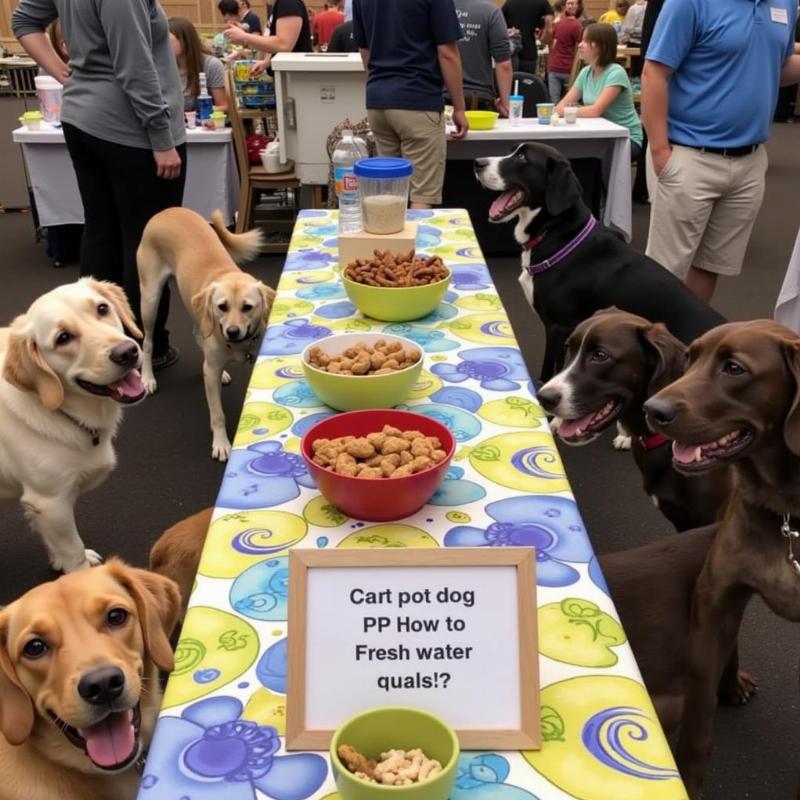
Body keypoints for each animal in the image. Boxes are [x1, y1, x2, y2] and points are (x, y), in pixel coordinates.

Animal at [0, 278, 145, 572]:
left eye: (102, 309)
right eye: (63, 338)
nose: (127, 352)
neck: (63, 413)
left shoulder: (42, 505)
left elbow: (53, 541)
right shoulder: (51, 502)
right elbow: (73, 551)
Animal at [138, 208, 276, 462]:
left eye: (247, 307)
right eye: (222, 306)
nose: (232, 332)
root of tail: (166, 211)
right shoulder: (210, 373)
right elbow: (217, 414)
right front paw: (221, 443)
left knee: (197, 334)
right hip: (150, 300)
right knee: (148, 341)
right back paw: (148, 378)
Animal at [476, 143, 724, 382]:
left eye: (522, 158)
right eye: (510, 152)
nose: (477, 163)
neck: (558, 233)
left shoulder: (559, 328)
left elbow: (549, 373)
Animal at [640, 318, 800, 792]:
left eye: (734, 368)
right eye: (689, 358)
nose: (652, 409)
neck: (786, 510)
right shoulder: (715, 600)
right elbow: (697, 727)